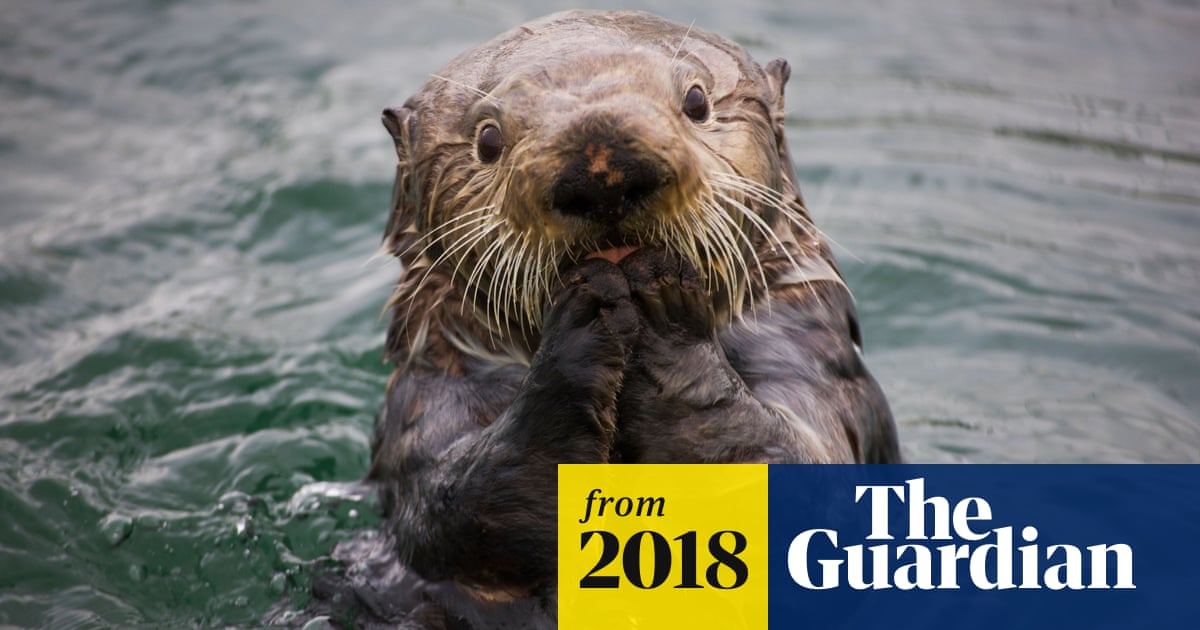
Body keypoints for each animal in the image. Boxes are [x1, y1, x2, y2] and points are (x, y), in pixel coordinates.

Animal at [357, 9, 898, 627]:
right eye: (487, 140)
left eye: (696, 100)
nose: (602, 167)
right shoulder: (426, 402)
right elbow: (448, 510)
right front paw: (585, 320)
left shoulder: (812, 360)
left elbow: (803, 477)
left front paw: (663, 317)